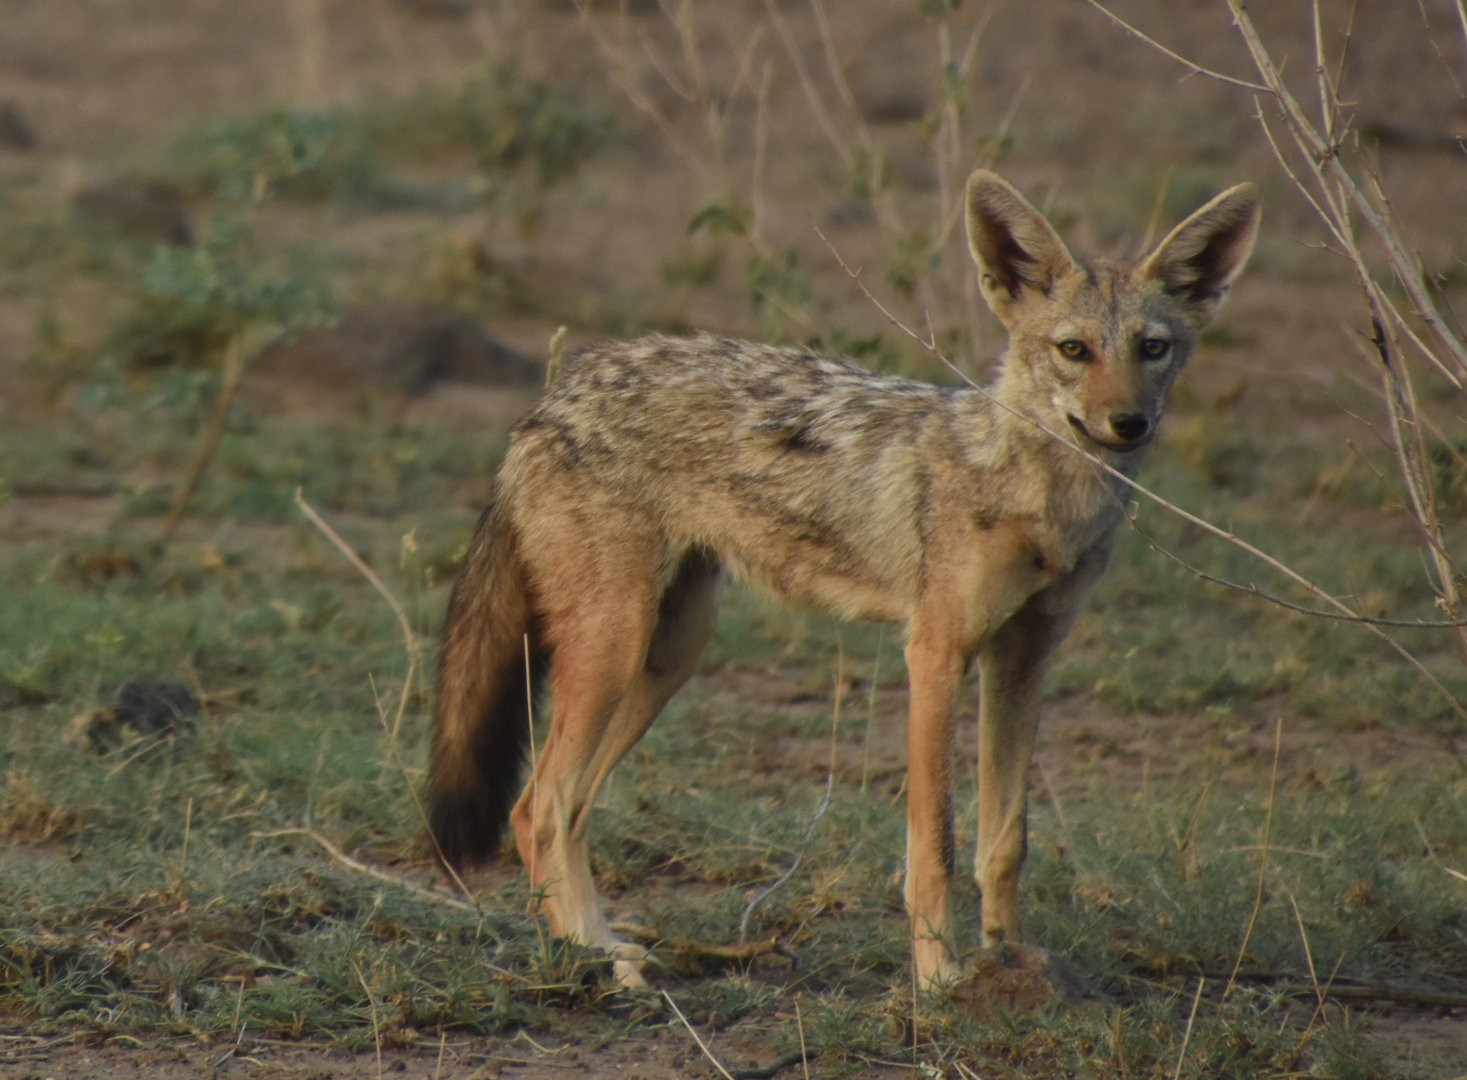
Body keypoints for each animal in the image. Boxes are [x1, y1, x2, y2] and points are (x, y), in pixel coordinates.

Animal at [429, 170, 1260, 990]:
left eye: (1151, 348)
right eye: (1073, 349)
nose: (1127, 424)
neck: (1040, 500)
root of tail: (556, 394)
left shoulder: (1022, 659)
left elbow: (1004, 843)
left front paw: (1007, 961)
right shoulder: (933, 655)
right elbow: (936, 845)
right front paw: (939, 981)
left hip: (669, 655)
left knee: (559, 809)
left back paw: (597, 946)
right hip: (616, 647)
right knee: (539, 805)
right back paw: (594, 959)